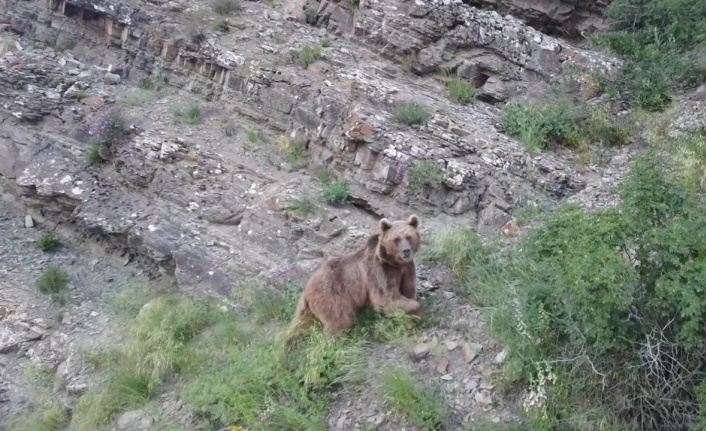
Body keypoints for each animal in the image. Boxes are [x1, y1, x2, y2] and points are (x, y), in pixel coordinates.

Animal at [284, 214, 420, 340]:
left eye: (409, 236)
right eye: (396, 239)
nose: (406, 251)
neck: (396, 263)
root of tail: (307, 288)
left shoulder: (407, 269)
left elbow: (407, 291)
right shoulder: (380, 271)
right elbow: (387, 298)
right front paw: (415, 310)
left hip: (308, 307)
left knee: (299, 325)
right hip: (331, 295)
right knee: (338, 320)